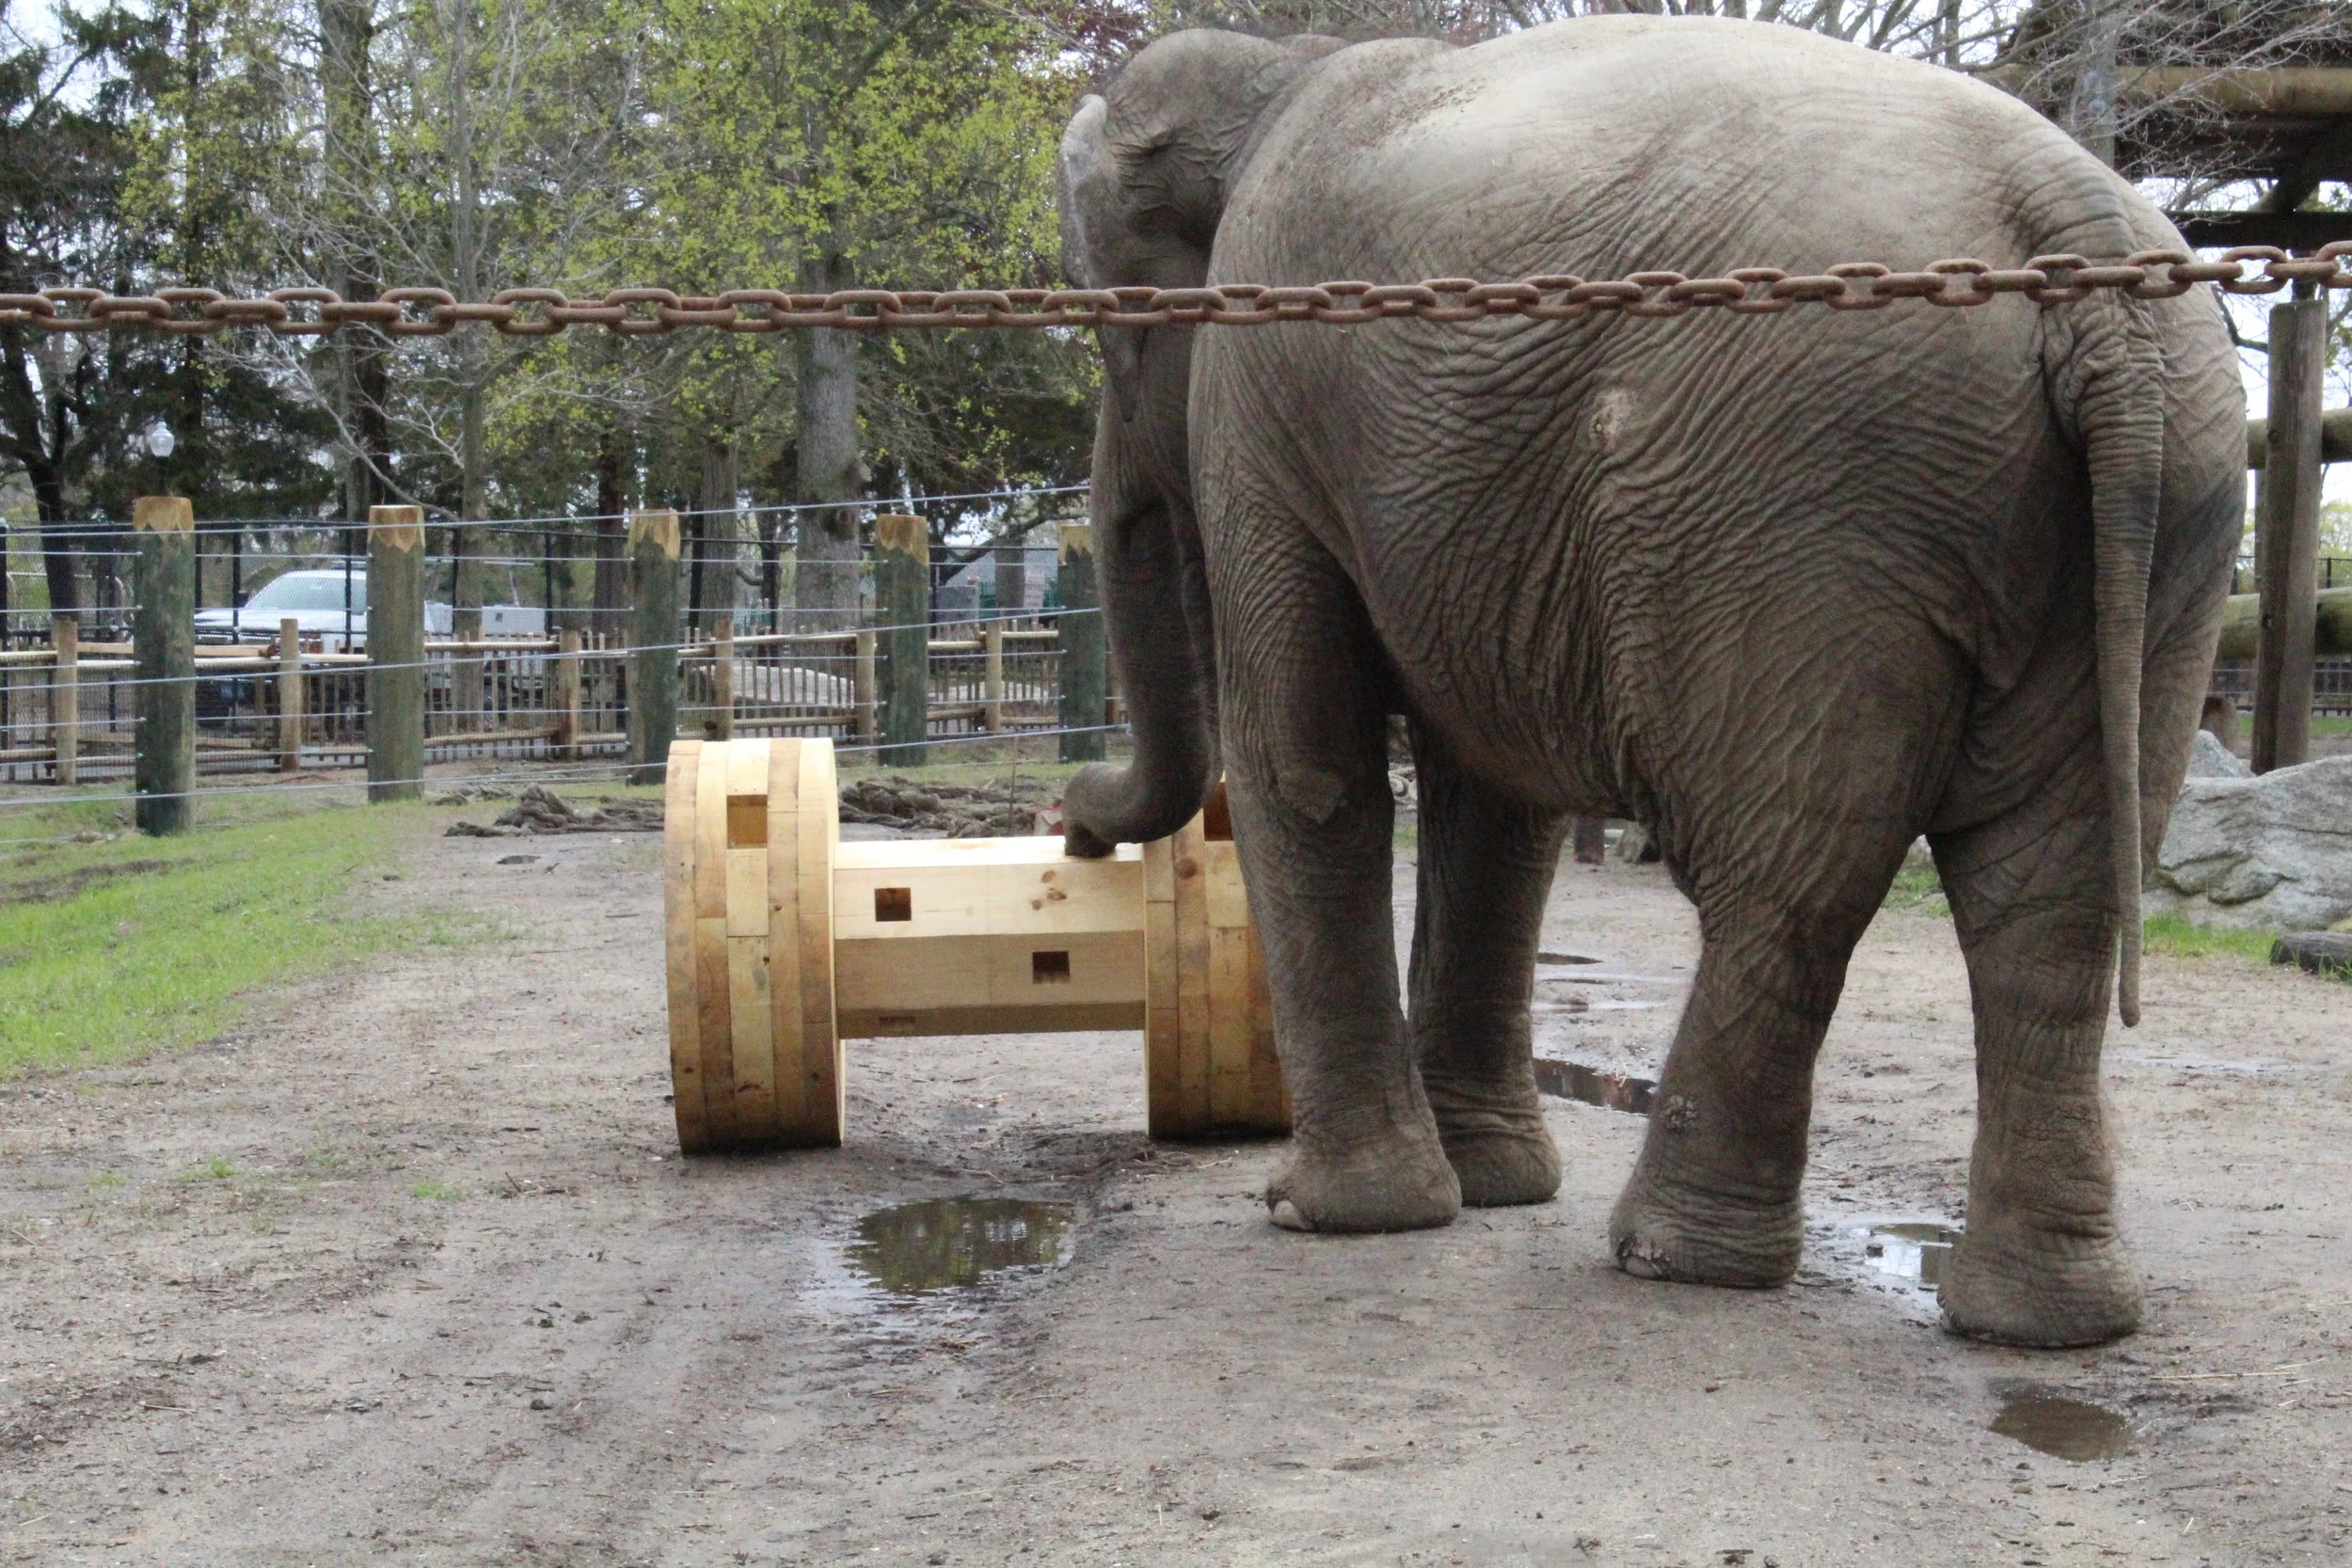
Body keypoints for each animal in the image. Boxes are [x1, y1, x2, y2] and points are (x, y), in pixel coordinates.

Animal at [1054, 16, 2245, 1348]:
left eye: (1110, 330)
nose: (1073, 828)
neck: (1275, 68)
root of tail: (2065, 222)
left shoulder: (1262, 393)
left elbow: (1306, 766)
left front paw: (1325, 1211)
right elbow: (1496, 803)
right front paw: (1492, 1188)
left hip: (1803, 497)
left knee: (1791, 875)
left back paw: (1672, 1257)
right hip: (2176, 491)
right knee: (2056, 889)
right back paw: (2043, 1321)